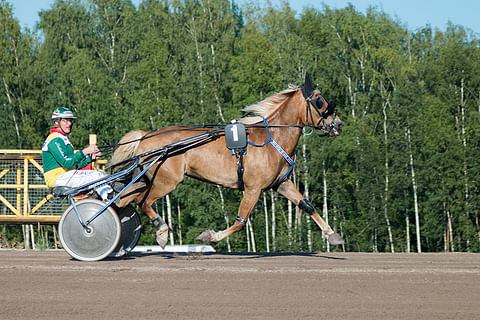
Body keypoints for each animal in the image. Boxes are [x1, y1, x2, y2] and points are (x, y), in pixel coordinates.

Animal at [111, 73, 344, 248]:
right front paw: (210, 236)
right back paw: (161, 231)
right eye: (320, 102)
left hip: (145, 179)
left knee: (121, 201)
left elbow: (307, 205)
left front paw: (332, 235)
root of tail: (146, 135)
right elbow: (241, 221)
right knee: (143, 202)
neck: (272, 140)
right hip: (166, 182)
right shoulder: (253, 188)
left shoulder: (281, 184)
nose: (339, 124)